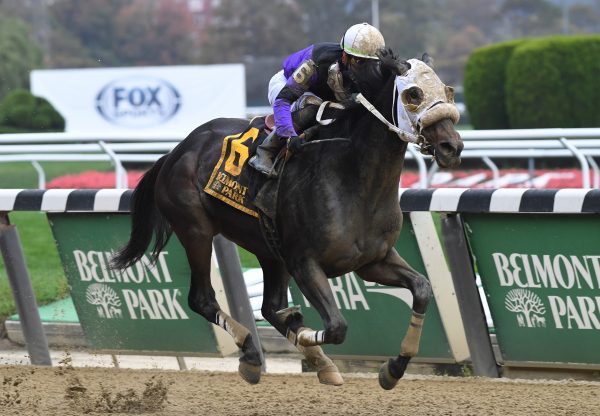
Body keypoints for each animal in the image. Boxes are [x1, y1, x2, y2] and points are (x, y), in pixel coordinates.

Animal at [111, 52, 464, 390]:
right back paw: (252, 354)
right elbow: (336, 326)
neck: (352, 177)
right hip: (195, 231)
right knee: (203, 298)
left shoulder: (373, 261)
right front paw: (306, 336)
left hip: (267, 248)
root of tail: (176, 151)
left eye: (448, 91)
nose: (453, 146)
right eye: (413, 94)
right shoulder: (304, 262)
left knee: (269, 306)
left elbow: (422, 289)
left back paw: (314, 360)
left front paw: (393, 368)